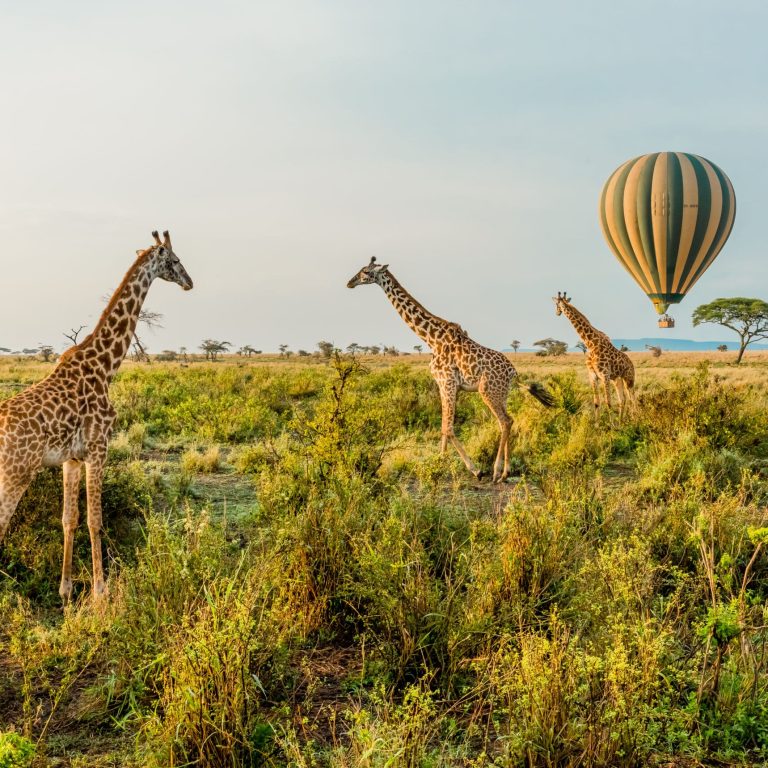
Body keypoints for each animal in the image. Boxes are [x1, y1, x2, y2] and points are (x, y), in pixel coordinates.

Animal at [0, 231, 192, 604]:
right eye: (175, 260)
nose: (190, 282)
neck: (106, 366)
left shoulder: (71, 458)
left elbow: (69, 519)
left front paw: (65, 590)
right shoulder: (99, 448)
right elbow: (95, 520)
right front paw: (101, 591)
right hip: (15, 474)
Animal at [348, 260, 552, 484]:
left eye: (366, 272)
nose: (350, 282)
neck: (431, 339)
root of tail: (514, 372)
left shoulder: (448, 382)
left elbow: (448, 427)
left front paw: (474, 470)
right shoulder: (442, 384)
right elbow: (443, 426)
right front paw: (439, 462)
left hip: (487, 391)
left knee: (505, 421)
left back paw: (496, 471)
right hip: (501, 393)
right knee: (508, 421)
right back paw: (506, 472)